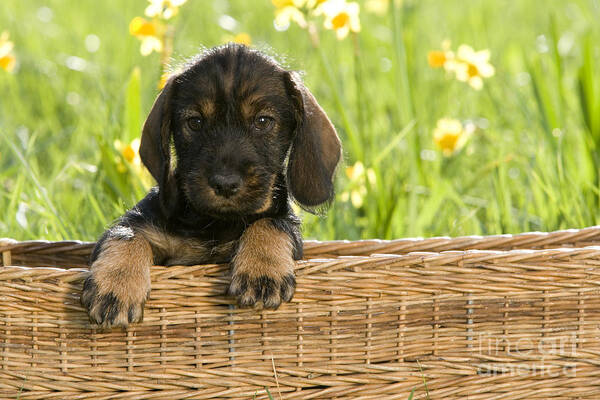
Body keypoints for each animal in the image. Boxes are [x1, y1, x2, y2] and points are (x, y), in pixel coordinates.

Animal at [79, 45, 342, 330]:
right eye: (195, 122)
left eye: (263, 121)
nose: (225, 184)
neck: (213, 222)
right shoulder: (143, 225)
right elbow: (126, 235)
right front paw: (116, 286)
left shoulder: (285, 224)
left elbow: (270, 223)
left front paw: (262, 272)